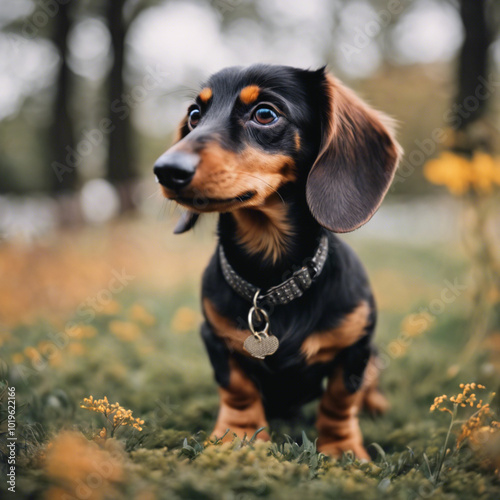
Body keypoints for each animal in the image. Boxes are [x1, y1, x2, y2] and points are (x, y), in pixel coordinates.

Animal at [153, 64, 402, 458]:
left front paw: (342, 449)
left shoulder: (356, 345)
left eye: (265, 114)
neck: (270, 280)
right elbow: (237, 389)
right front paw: (238, 438)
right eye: (194, 115)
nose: (165, 170)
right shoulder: (215, 338)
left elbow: (340, 398)